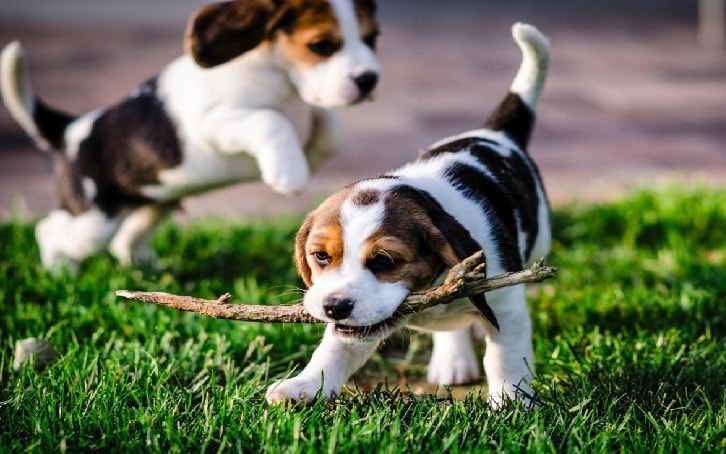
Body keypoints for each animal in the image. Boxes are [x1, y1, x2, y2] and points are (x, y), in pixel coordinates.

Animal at [0, 0, 384, 274]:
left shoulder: (310, 111)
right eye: (322, 46)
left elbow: (329, 125)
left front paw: (310, 153)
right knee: (50, 232)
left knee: (125, 240)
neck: (279, 78)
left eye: (371, 39)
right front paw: (289, 172)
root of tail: (69, 131)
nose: (369, 80)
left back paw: (145, 269)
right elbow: (270, 120)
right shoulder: (214, 122)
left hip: (154, 202)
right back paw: (60, 273)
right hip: (92, 221)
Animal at [268, 22, 552, 408]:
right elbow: (333, 351)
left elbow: (505, 357)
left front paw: (511, 403)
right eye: (321, 257)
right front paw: (305, 386)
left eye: (385, 261)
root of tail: (495, 133)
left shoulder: (505, 304)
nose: (334, 306)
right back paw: (452, 361)